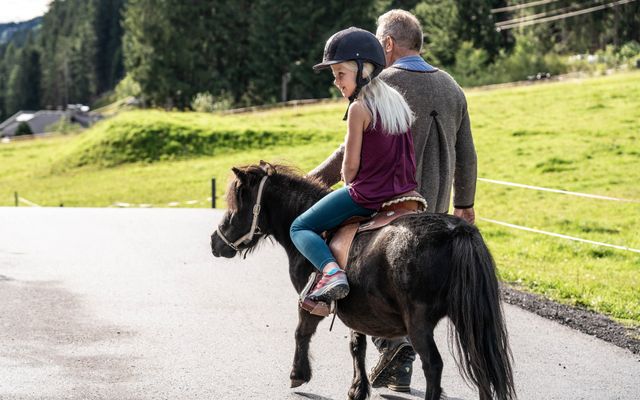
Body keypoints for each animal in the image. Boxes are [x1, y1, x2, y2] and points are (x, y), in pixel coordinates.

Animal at [210, 162, 516, 400]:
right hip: (469, 319)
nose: (215, 241)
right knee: (480, 363)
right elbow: (357, 345)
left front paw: (298, 374)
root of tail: (456, 230)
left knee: (434, 365)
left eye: (237, 203)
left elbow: (301, 333)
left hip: (419, 322)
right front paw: (358, 388)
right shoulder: (357, 310)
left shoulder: (309, 301)